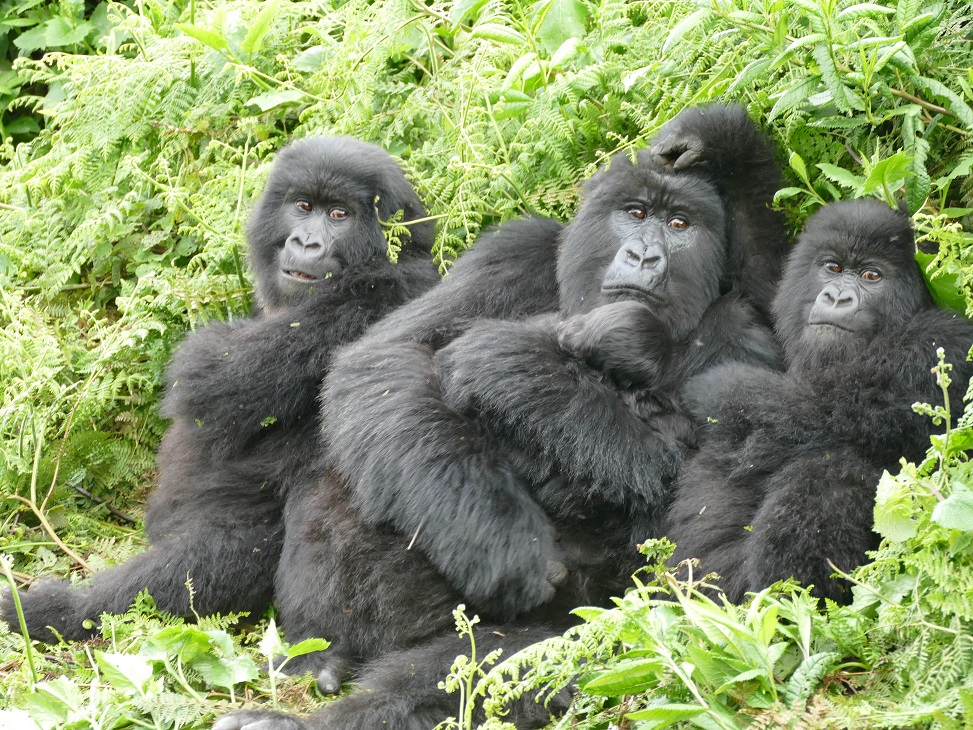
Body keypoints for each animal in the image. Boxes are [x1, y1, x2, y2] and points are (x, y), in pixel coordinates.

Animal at [0, 139, 438, 640]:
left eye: (340, 215)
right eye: (303, 207)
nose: (305, 242)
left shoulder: (373, 297)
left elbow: (207, 378)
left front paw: (63, 609)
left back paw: (58, 612)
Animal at [213, 104, 788, 728]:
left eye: (680, 226)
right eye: (635, 214)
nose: (644, 257)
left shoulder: (742, 331)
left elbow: (693, 530)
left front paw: (514, 363)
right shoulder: (519, 248)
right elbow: (387, 358)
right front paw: (498, 542)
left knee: (507, 657)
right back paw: (324, 654)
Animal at [664, 199, 972, 604]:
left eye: (871, 276)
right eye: (833, 268)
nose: (837, 297)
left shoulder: (943, 343)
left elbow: (807, 408)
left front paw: (713, 388)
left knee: (828, 464)